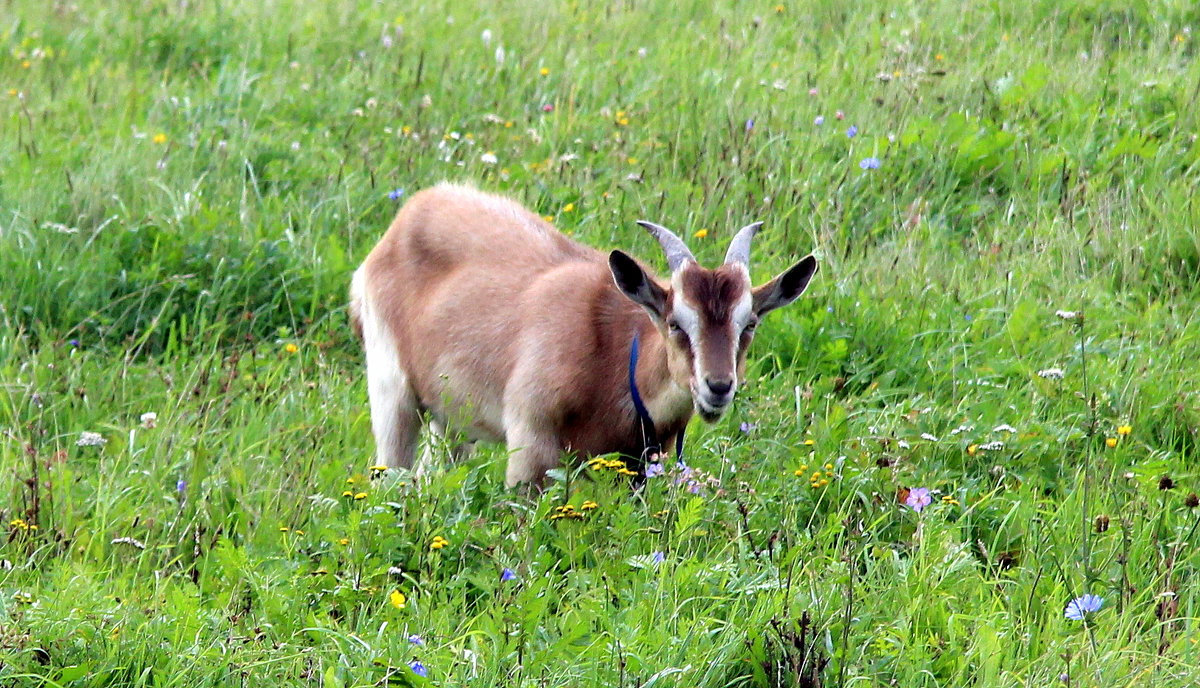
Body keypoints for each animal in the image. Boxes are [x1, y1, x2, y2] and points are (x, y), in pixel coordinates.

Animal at [348, 181, 816, 482]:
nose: (717, 387)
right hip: (392, 391)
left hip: (452, 417)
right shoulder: (530, 445)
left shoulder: (640, 465)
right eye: (674, 322)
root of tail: (407, 217)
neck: (609, 359)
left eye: (749, 323)